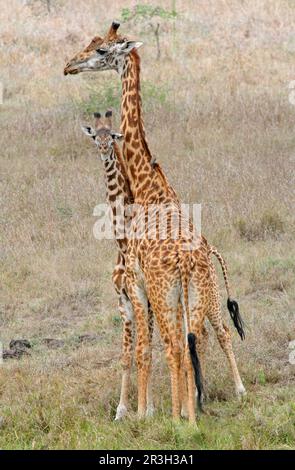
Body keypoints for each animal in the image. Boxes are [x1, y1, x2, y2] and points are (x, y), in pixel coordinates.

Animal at [65, 22, 247, 420]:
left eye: (102, 50)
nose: (69, 65)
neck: (149, 182)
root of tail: (190, 262)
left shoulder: (139, 284)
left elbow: (144, 348)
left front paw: (140, 411)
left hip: (169, 293)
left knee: (177, 344)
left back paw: (182, 416)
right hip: (196, 295)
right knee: (198, 339)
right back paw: (195, 407)